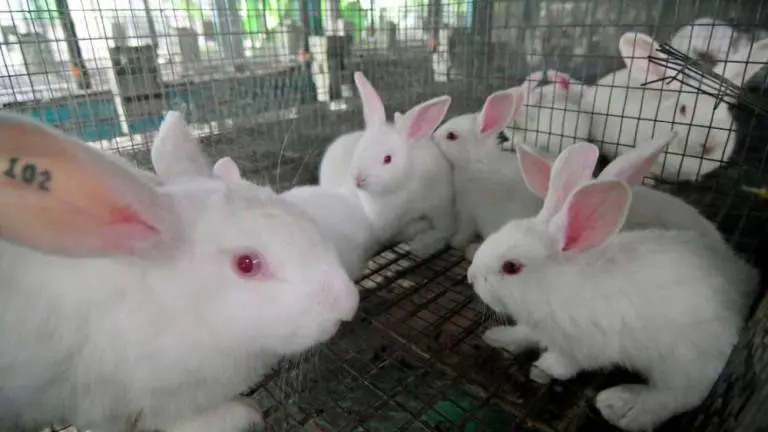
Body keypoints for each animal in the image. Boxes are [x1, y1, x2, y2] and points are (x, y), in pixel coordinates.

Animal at [348, 71, 457, 257]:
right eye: (359, 147)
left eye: (387, 159)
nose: (358, 179)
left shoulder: (438, 205)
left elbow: (442, 229)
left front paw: (421, 242)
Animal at [432, 87, 546, 260]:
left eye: (451, 136)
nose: (433, 137)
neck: (477, 162)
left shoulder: (467, 210)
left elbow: (465, 229)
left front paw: (456, 242)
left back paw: (472, 251)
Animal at [467, 143, 758, 431]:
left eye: (511, 267)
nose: (470, 276)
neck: (553, 283)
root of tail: (740, 282)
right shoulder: (540, 327)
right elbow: (524, 333)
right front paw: (498, 337)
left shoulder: (584, 345)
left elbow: (566, 362)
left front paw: (546, 366)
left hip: (685, 362)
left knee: (679, 396)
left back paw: (621, 406)